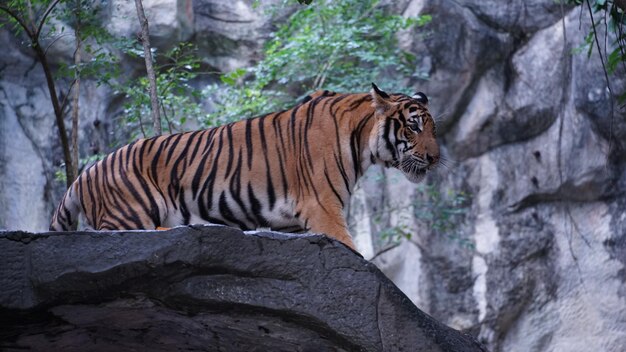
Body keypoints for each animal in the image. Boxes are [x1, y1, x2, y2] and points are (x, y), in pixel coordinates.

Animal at [48, 83, 436, 250]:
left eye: (433, 128)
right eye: (414, 127)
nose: (435, 158)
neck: (361, 140)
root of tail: (85, 173)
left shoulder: (292, 223)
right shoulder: (323, 209)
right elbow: (355, 254)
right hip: (129, 214)